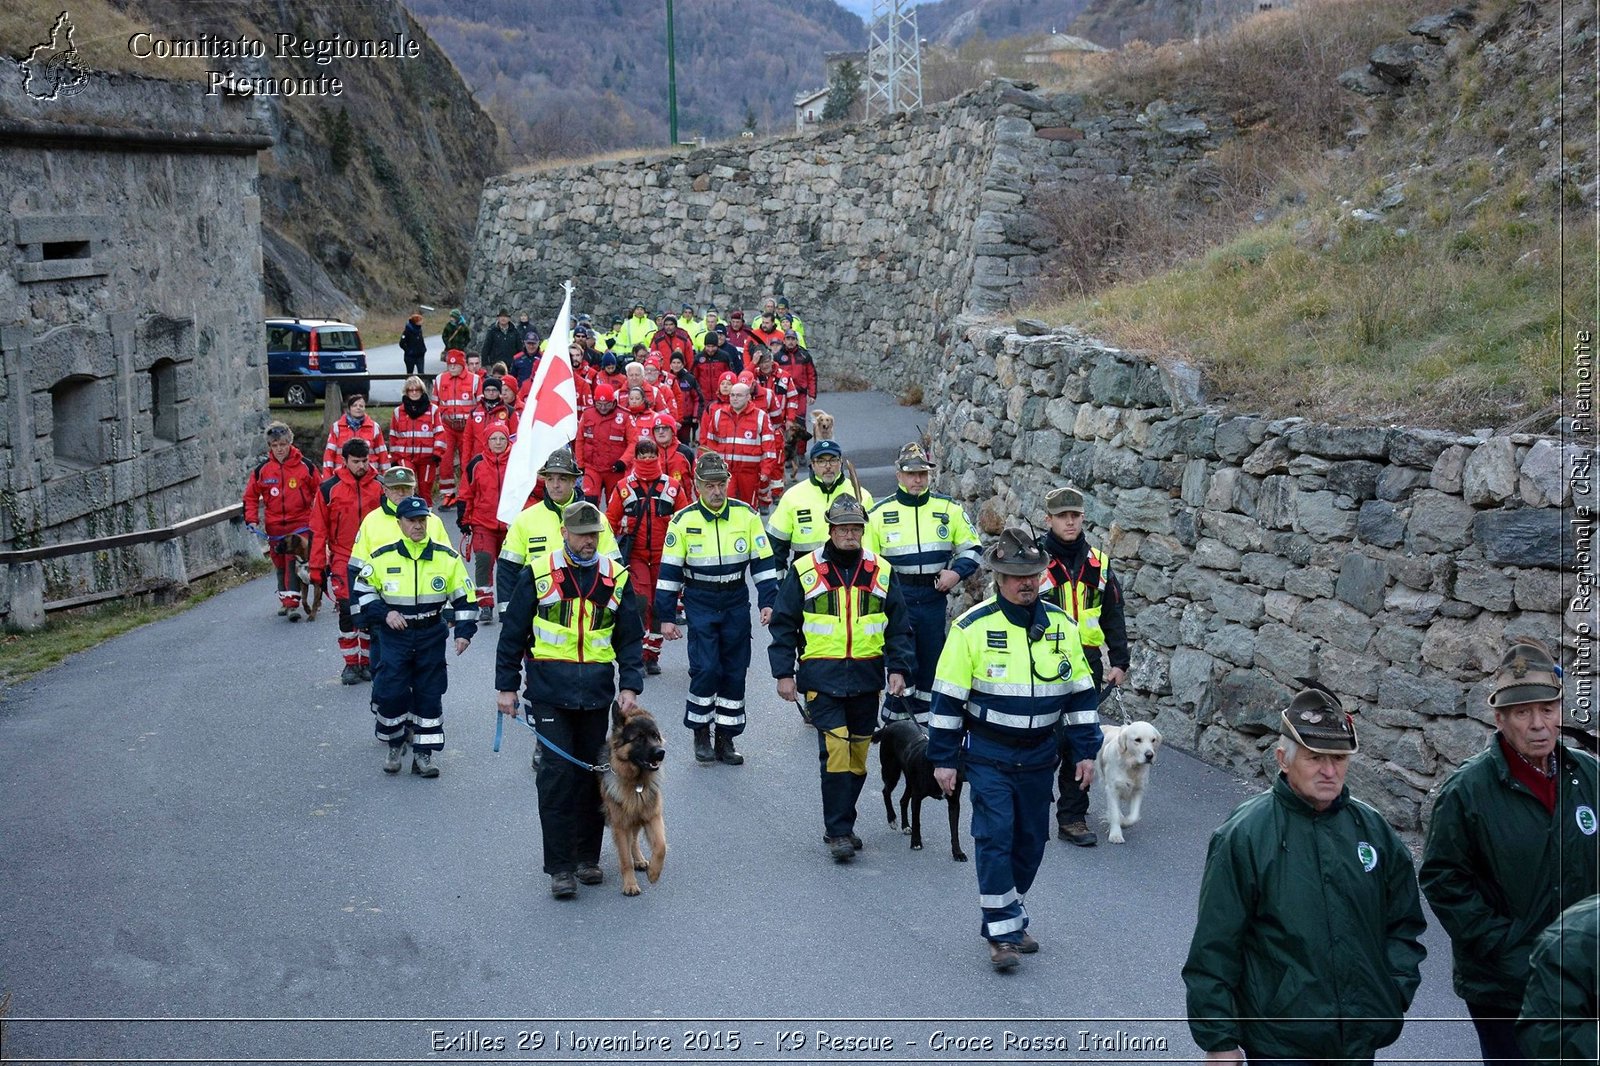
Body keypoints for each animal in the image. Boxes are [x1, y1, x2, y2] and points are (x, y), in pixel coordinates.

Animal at [601, 701, 672, 889]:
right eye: (639, 738)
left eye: (655, 736)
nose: (660, 753)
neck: (636, 783)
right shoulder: (620, 826)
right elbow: (625, 860)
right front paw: (630, 885)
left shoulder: (652, 816)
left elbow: (661, 846)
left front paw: (654, 873)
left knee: (633, 840)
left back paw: (639, 860)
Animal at [876, 713, 960, 857]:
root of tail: (890, 726)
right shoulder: (917, 798)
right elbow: (917, 822)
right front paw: (916, 843)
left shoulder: (954, 802)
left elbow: (954, 830)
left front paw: (958, 853)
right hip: (892, 772)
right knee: (886, 792)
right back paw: (892, 819)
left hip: (910, 782)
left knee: (903, 800)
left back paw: (905, 826)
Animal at [1094, 717, 1158, 845]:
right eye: (1137, 740)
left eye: (1153, 740)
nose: (1150, 755)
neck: (1131, 766)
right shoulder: (1112, 789)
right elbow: (1114, 813)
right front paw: (1116, 835)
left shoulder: (1138, 789)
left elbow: (1134, 816)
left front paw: (1124, 822)